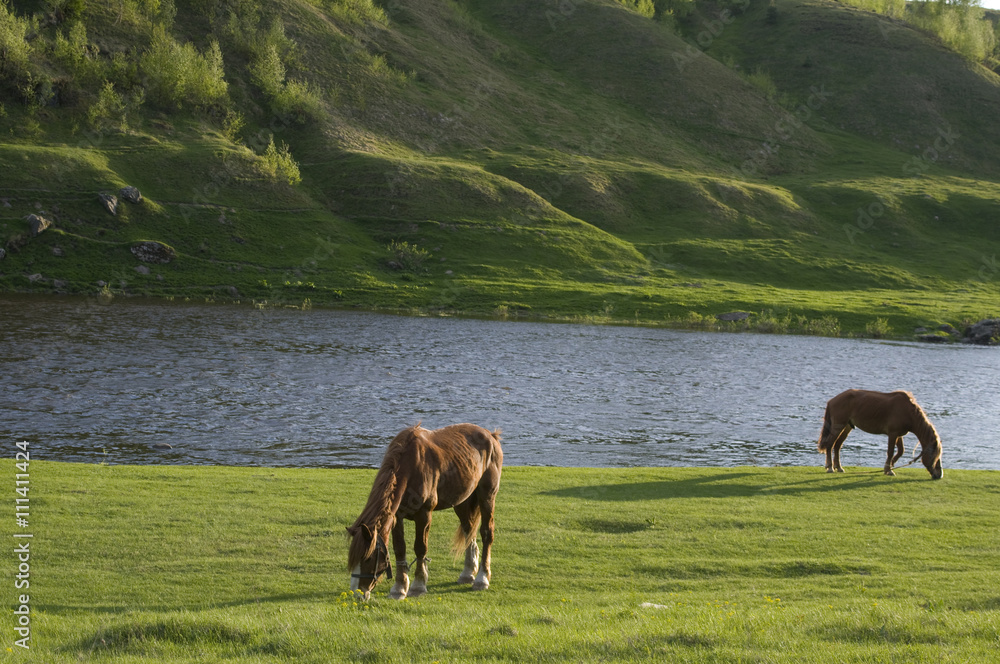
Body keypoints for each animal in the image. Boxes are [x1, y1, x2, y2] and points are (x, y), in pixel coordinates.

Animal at [346, 423, 503, 601]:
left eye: (368, 558)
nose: (357, 593)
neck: (411, 466)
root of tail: (491, 436)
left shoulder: (424, 514)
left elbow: (420, 548)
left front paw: (418, 585)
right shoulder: (397, 517)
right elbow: (400, 549)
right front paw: (399, 588)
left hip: (487, 497)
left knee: (486, 533)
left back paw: (482, 578)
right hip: (462, 501)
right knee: (469, 531)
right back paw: (467, 573)